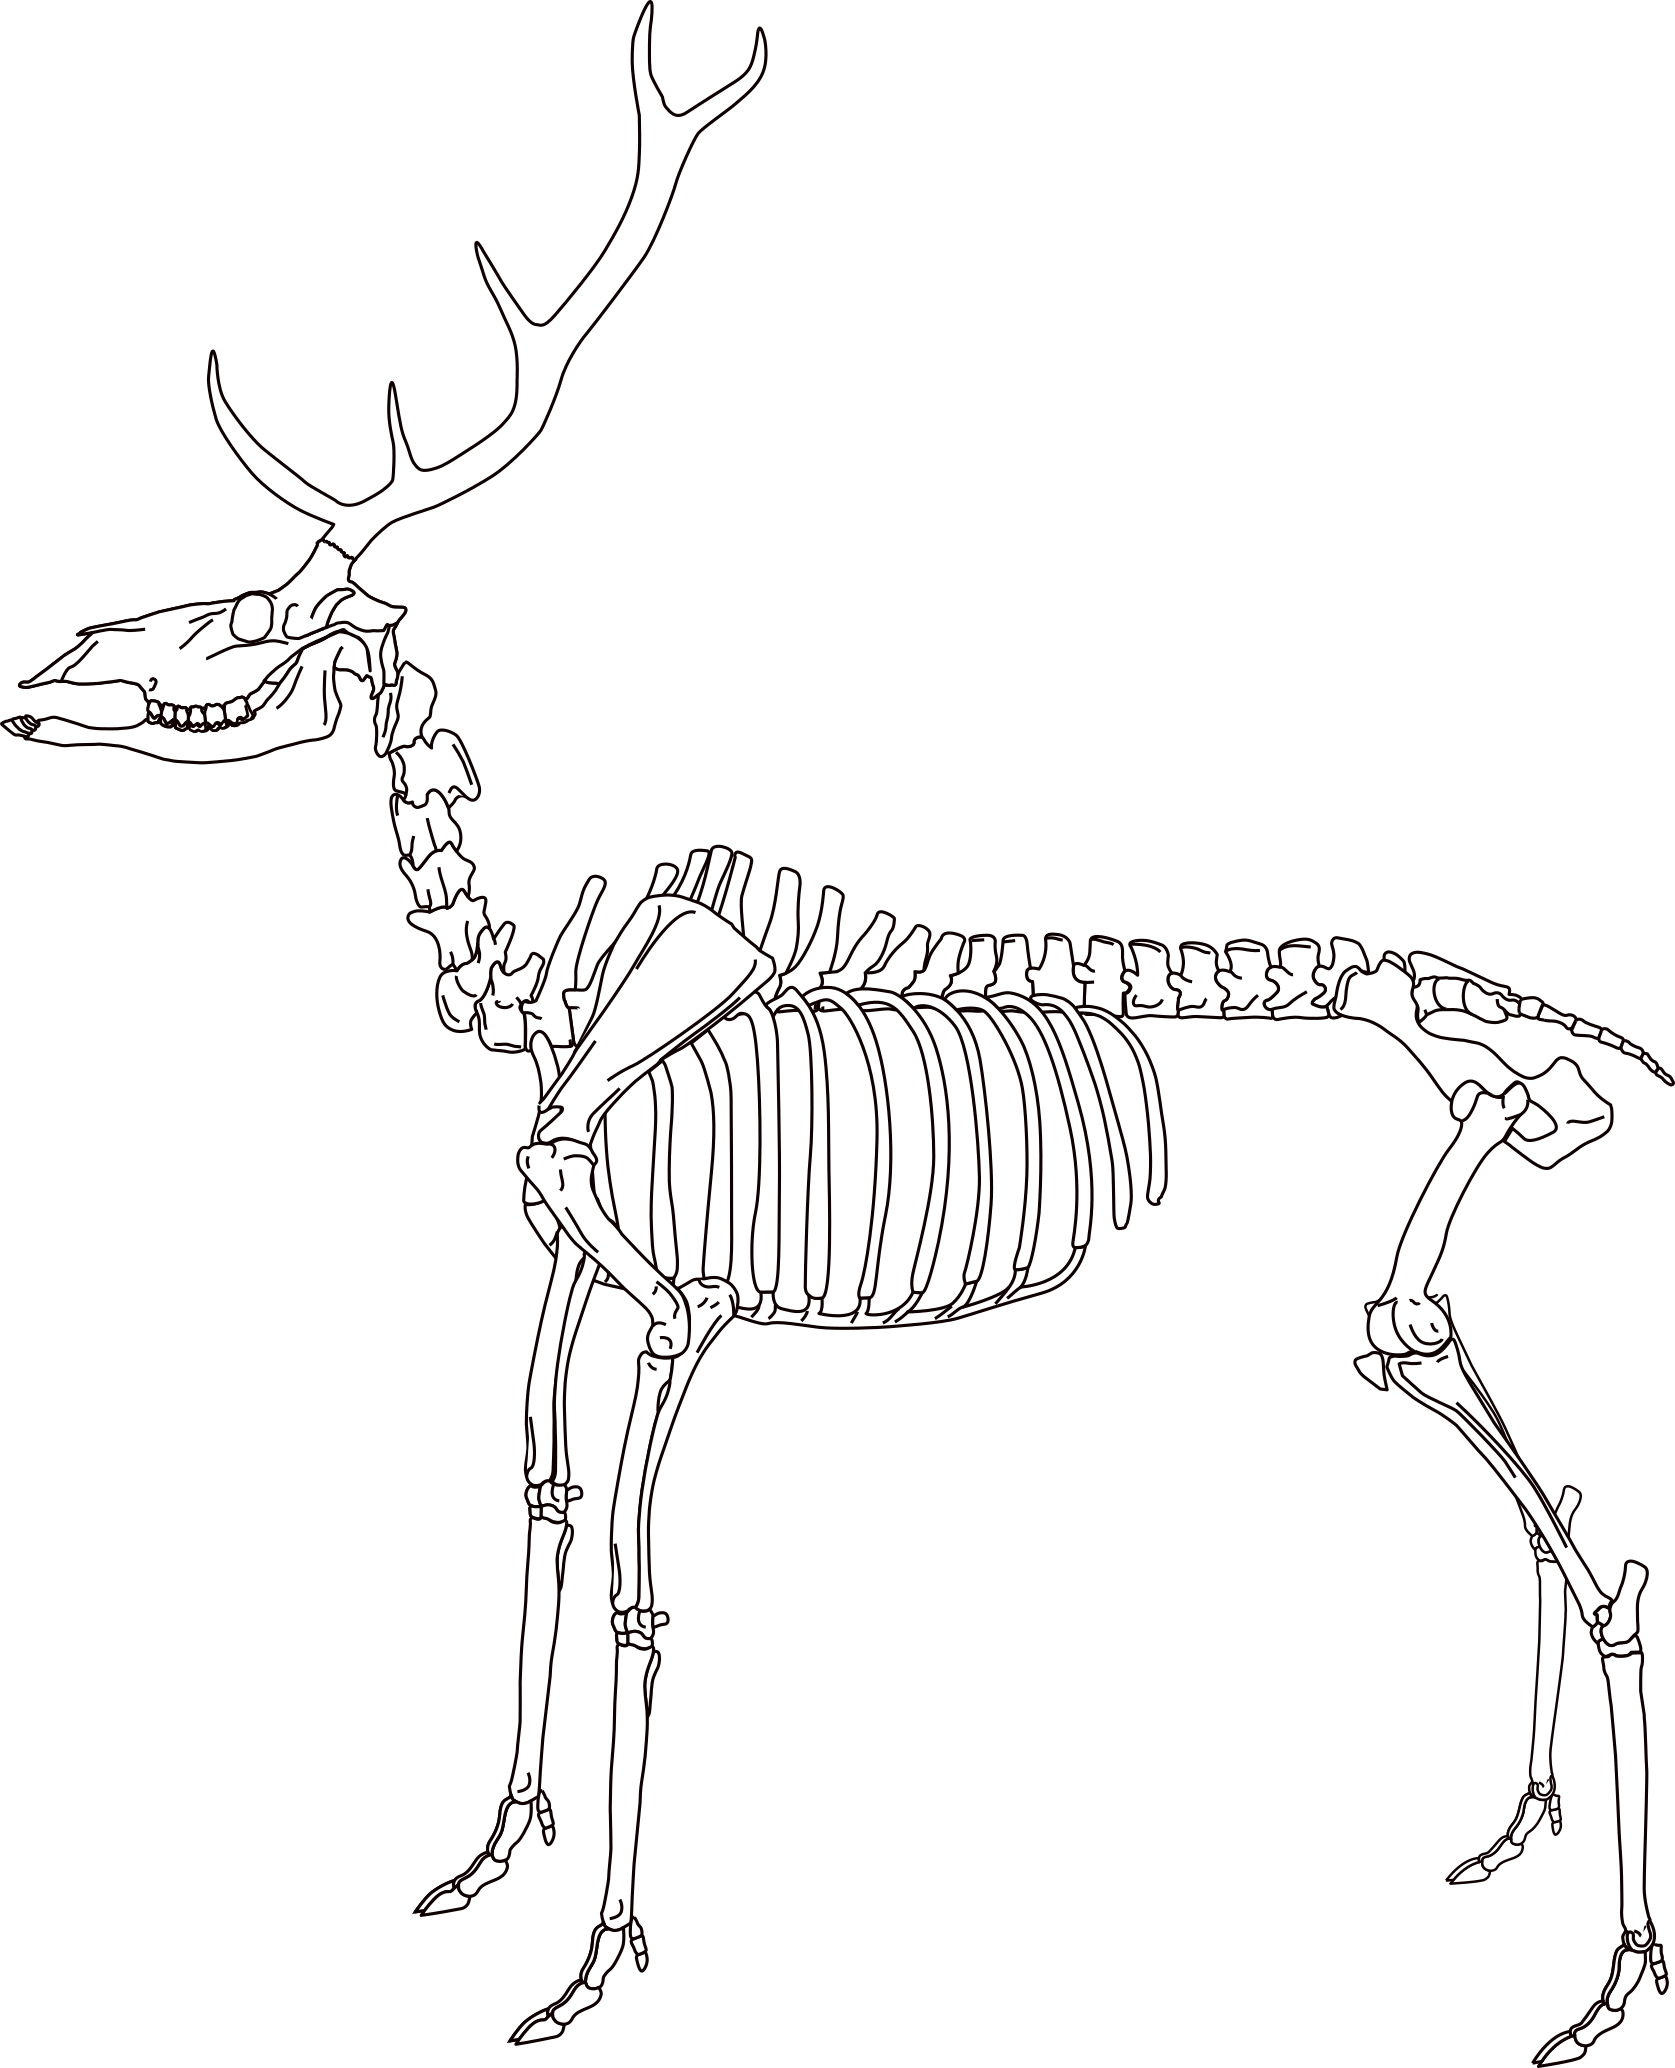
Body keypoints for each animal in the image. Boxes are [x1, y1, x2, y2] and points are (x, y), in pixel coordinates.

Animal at [6, 8, 1667, 2060]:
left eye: (242, 621)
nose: (39, 677)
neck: (546, 993)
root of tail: (1463, 1018)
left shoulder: (687, 1305)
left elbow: (639, 1587)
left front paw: (587, 1968)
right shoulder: (569, 1286)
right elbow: (537, 1493)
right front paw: (488, 1858)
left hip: (1391, 1299)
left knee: (1585, 1533)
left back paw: (1603, 1987)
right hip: (1419, 1295)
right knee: (1550, 1500)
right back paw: (1510, 1838)